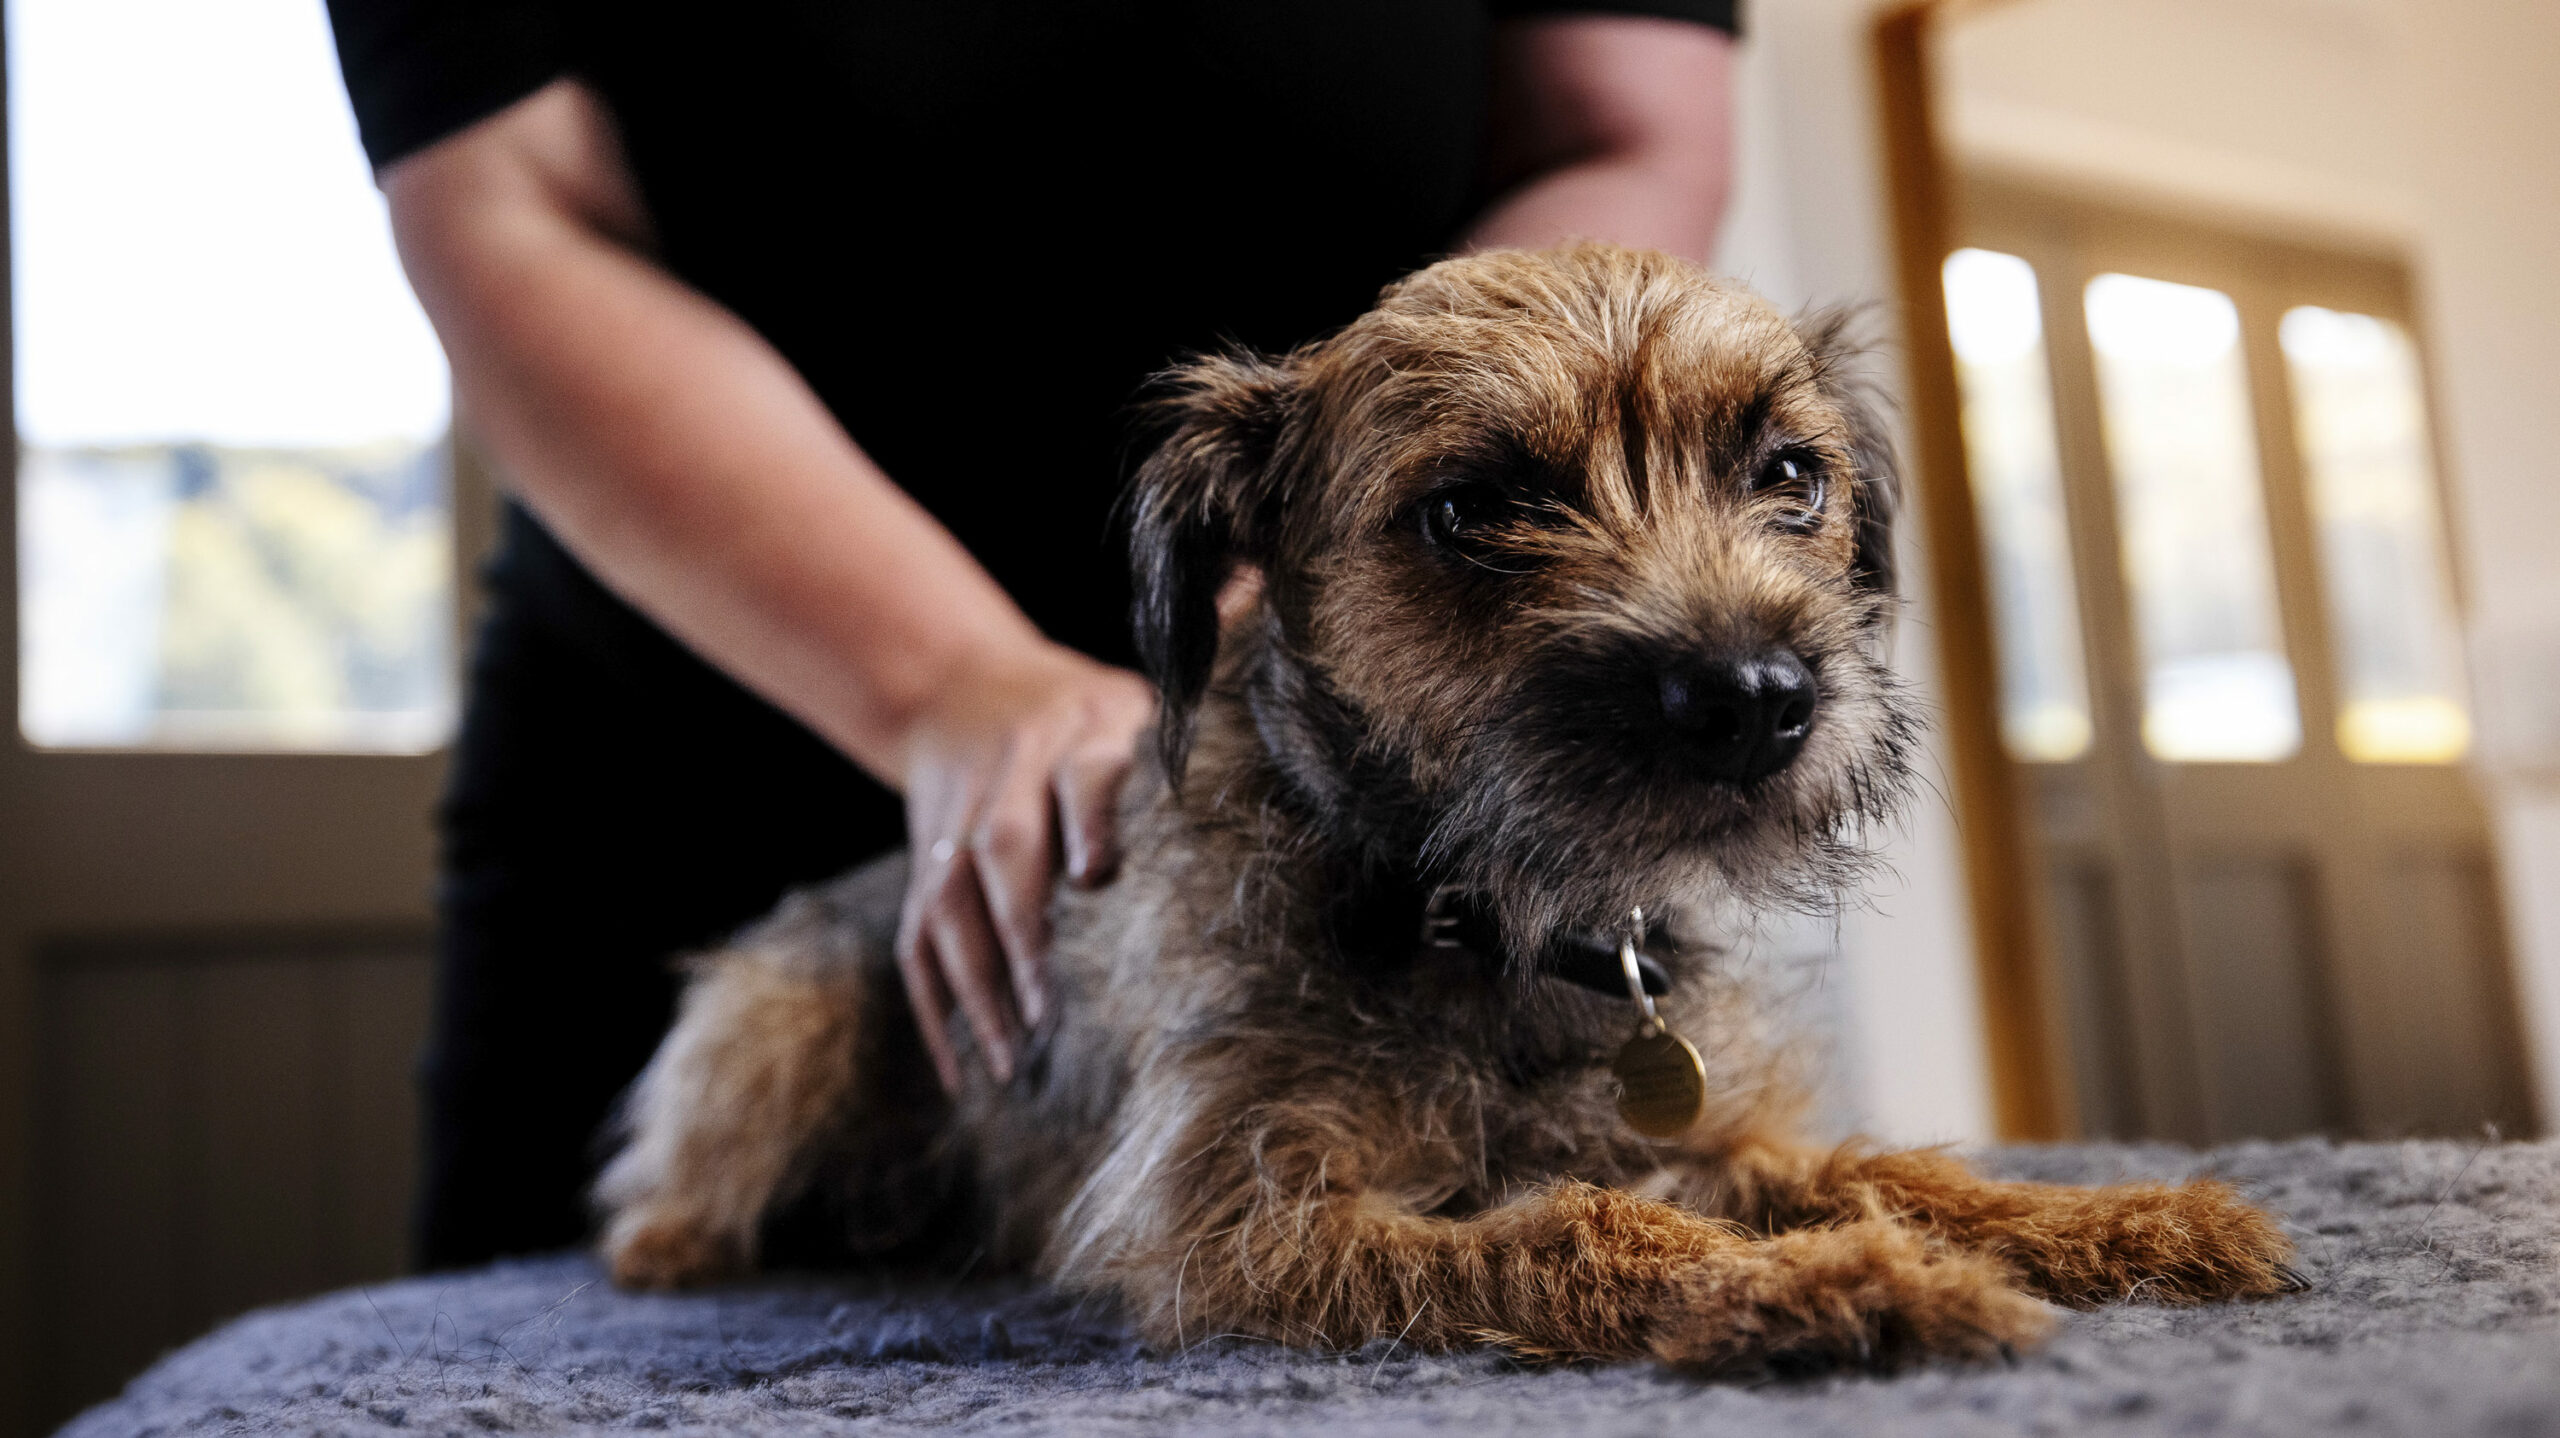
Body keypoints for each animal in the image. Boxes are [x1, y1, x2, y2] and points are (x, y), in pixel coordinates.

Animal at [599, 243, 2304, 1361]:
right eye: (1473, 508)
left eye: (1791, 474)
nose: (1758, 693)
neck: (1482, 912)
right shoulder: (1238, 1215)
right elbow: (1575, 1225)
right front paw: (1848, 1287)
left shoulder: (1707, 1131)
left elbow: (1882, 1168)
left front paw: (2119, 1223)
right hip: (780, 1017)